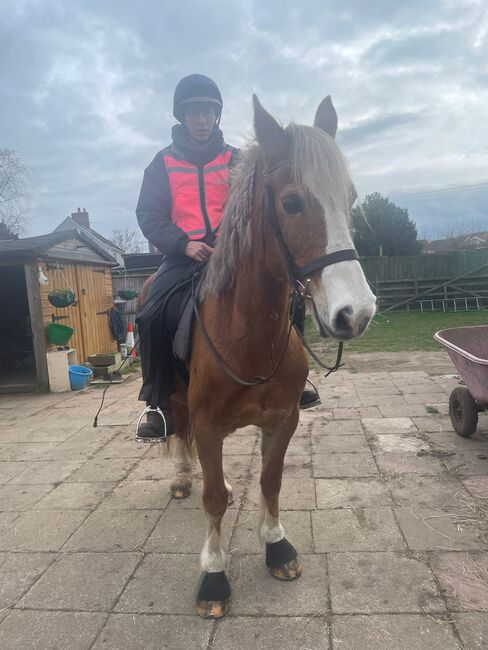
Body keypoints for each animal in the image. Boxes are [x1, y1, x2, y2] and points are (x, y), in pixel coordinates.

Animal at [139, 96, 376, 616]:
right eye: (291, 203)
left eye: (349, 199)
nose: (356, 313)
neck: (247, 335)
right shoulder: (208, 423)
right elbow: (211, 499)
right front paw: (213, 576)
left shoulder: (283, 419)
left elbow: (270, 482)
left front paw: (277, 546)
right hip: (172, 396)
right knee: (177, 426)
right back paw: (182, 474)